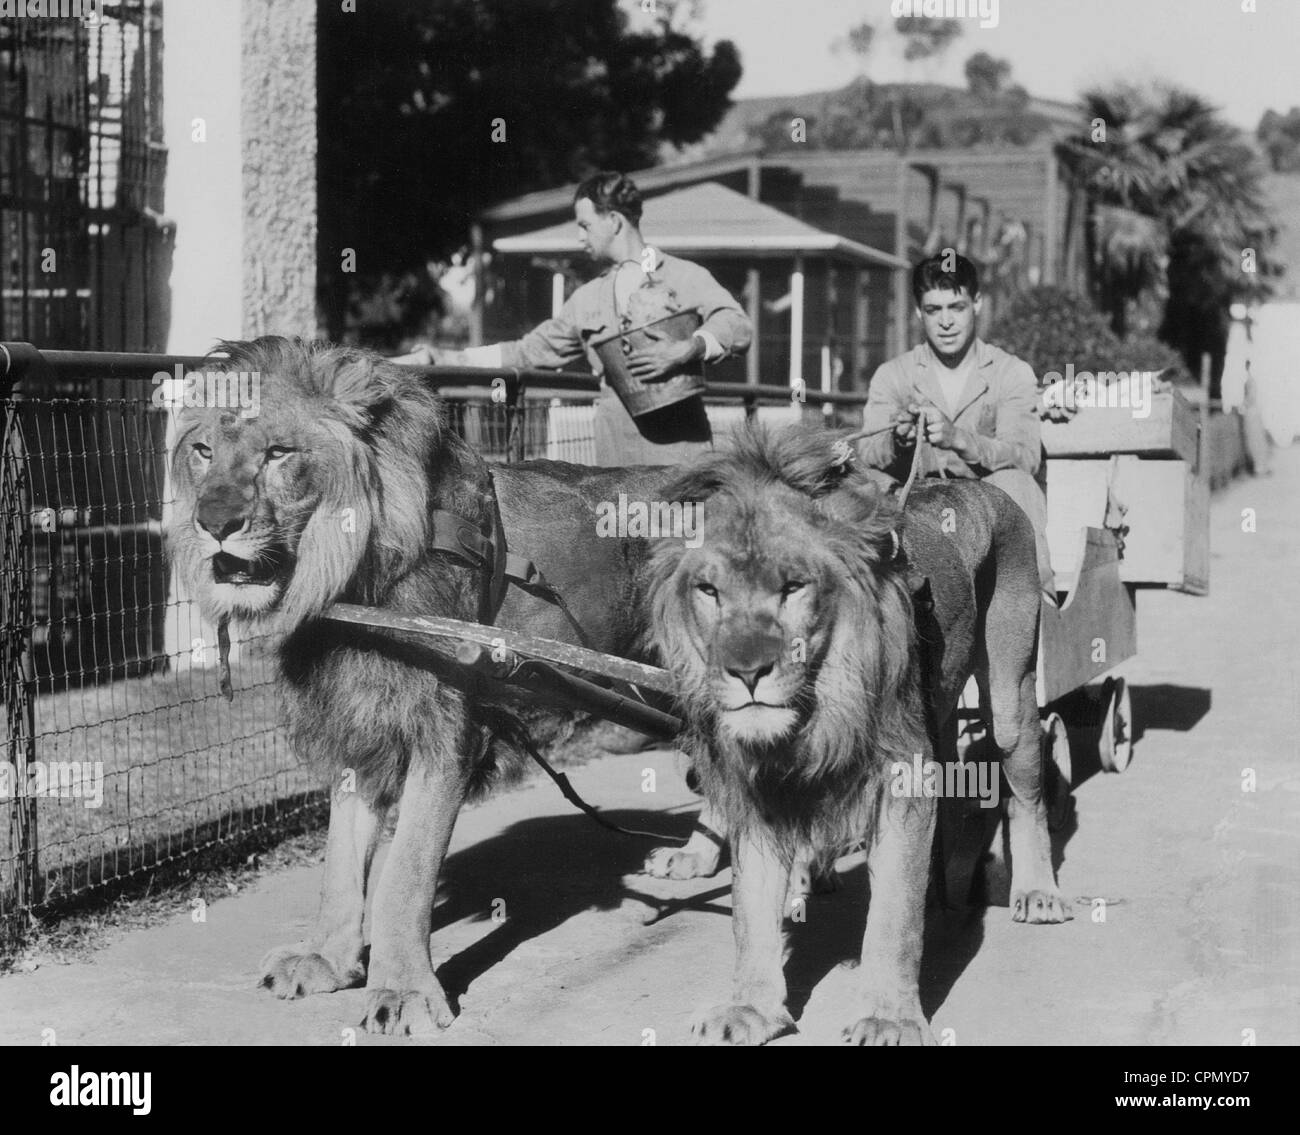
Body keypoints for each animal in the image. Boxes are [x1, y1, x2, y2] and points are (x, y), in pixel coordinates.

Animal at [166, 331, 665, 1029]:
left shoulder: (447, 731)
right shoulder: (356, 720)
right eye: (204, 451)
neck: (348, 578)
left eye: (278, 454)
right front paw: (327, 960)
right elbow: (341, 861)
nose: (212, 523)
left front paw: (402, 991)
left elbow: (405, 874)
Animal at [644, 426, 1071, 1045]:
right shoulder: (758, 793)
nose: (746, 671)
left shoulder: (903, 781)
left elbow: (893, 917)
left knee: (1027, 793)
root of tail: (980, 487)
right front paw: (750, 1007)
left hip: (1012, 699)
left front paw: (888, 1017)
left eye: (793, 587)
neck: (817, 713)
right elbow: (751, 910)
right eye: (708, 591)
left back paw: (1037, 892)